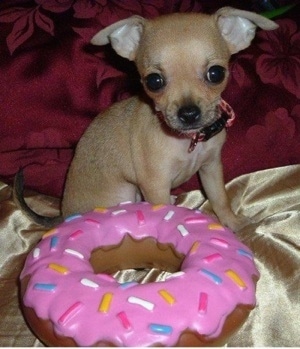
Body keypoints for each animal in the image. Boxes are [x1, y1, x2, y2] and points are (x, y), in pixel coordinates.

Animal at [13, 6, 276, 230]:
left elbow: (220, 198)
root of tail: (63, 214)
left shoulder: (211, 168)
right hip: (124, 191)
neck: (188, 142)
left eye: (216, 73)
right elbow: (166, 213)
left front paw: (233, 223)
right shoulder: (155, 185)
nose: (188, 113)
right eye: (154, 81)